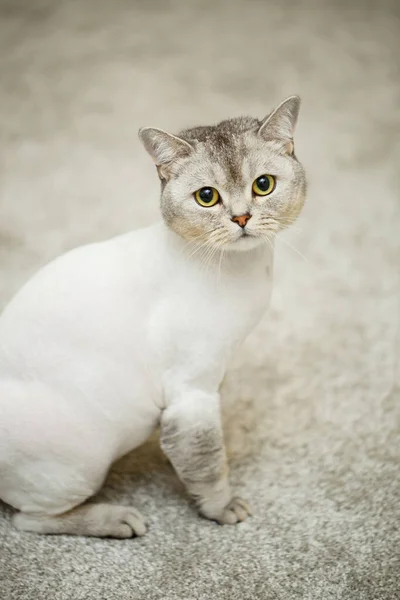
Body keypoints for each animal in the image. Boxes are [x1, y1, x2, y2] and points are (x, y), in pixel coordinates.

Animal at [0, 96, 306, 536]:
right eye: (207, 197)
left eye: (263, 185)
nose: (242, 218)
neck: (241, 271)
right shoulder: (192, 391)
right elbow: (208, 462)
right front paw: (220, 506)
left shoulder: (209, 381)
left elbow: (196, 449)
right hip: (85, 458)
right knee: (30, 519)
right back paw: (116, 519)